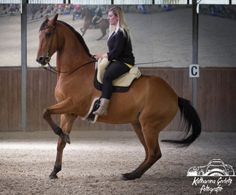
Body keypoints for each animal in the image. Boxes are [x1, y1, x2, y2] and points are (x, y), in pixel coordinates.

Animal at [36, 14, 201, 181]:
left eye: (48, 33)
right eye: (39, 35)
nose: (40, 59)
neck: (74, 71)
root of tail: (174, 96)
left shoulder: (72, 104)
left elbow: (45, 112)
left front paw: (62, 136)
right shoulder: (68, 113)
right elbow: (59, 141)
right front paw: (55, 169)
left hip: (149, 126)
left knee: (154, 153)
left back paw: (131, 175)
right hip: (138, 125)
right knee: (149, 153)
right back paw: (133, 173)